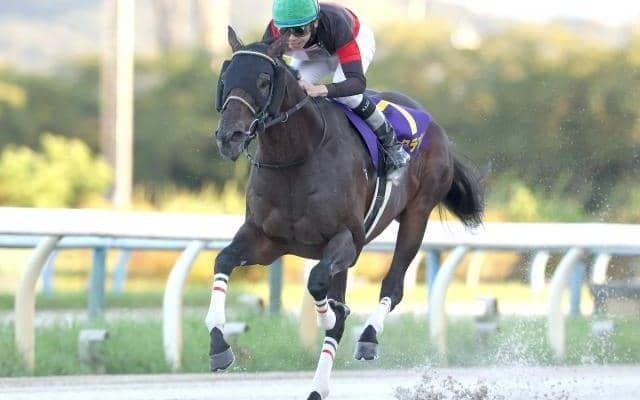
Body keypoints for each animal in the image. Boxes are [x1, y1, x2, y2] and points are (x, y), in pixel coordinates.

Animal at [207, 26, 484, 400]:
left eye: (264, 81)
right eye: (225, 78)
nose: (230, 136)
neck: (297, 155)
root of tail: (436, 127)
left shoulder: (347, 240)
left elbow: (317, 284)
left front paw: (329, 316)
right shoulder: (266, 240)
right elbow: (223, 260)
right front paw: (218, 343)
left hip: (417, 214)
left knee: (393, 285)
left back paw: (367, 336)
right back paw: (317, 388)